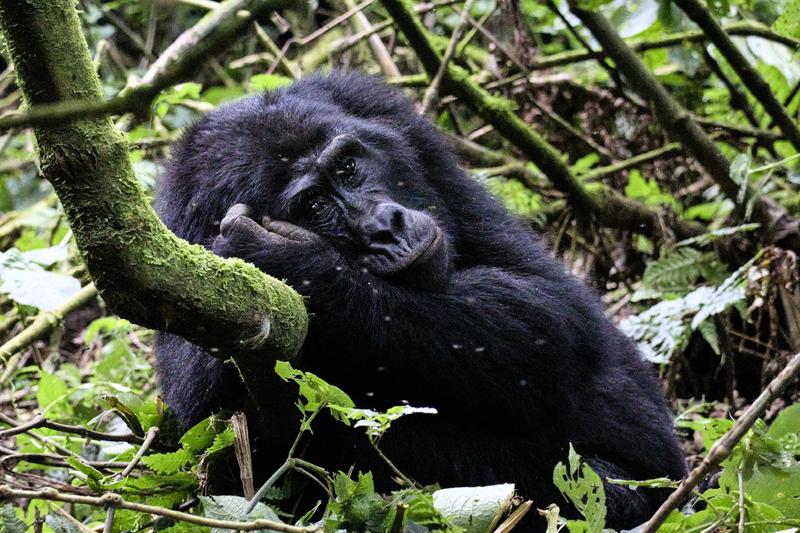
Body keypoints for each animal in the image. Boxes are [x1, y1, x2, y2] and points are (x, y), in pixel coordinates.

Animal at [155, 71, 688, 532]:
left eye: (348, 168)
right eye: (315, 206)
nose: (384, 227)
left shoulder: (397, 122)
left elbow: (551, 311)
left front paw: (302, 267)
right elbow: (217, 426)